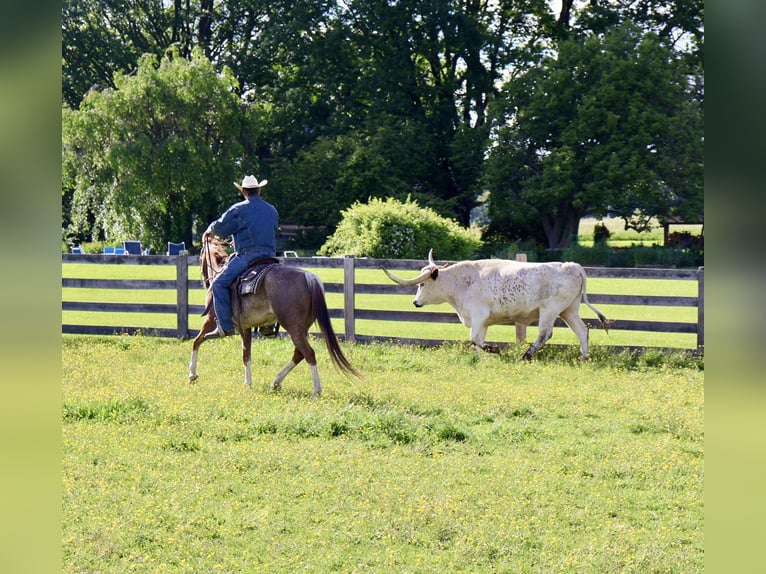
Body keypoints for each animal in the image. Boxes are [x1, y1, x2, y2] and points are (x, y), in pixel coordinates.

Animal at [188, 237, 360, 395]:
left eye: (201, 255)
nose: (204, 281)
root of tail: (309, 277)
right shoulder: (246, 327)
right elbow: (246, 353)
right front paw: (248, 382)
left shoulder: (211, 321)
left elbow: (197, 341)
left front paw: (192, 374)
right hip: (301, 328)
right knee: (299, 353)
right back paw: (276, 382)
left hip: (293, 327)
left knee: (308, 353)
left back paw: (316, 390)